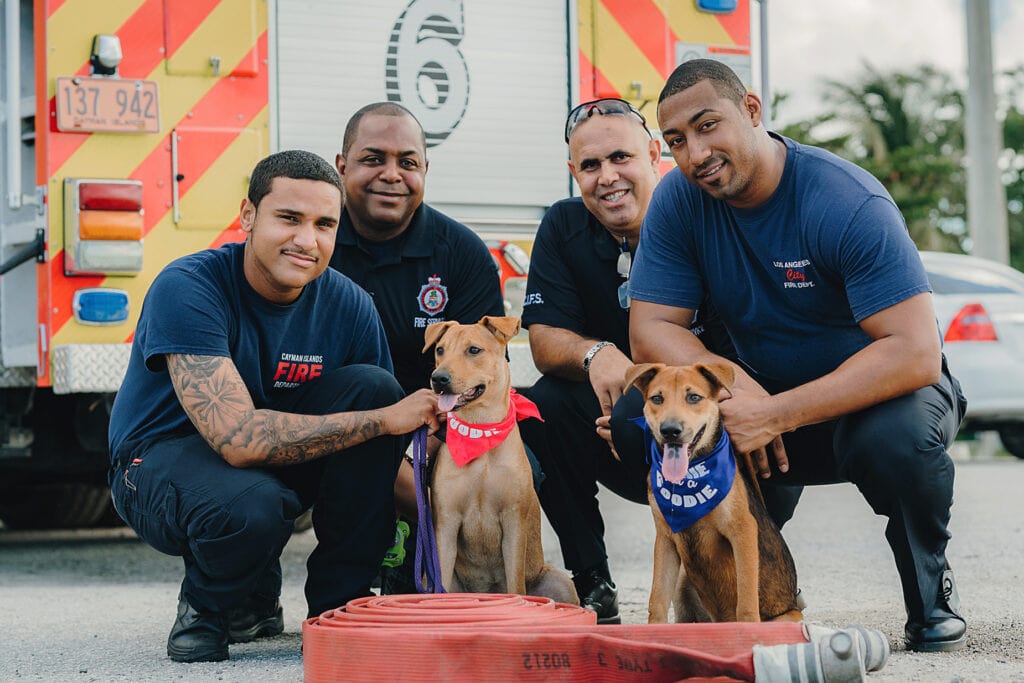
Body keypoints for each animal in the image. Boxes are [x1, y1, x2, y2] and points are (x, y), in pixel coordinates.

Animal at [415, 315, 577, 602]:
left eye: (473, 350)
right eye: (440, 350)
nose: (438, 378)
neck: (481, 431)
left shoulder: (513, 522)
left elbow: (515, 584)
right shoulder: (446, 524)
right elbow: (440, 577)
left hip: (560, 582)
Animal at [618, 362, 802, 626]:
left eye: (694, 397)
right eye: (657, 398)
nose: (670, 430)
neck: (689, 479)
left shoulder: (743, 529)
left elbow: (746, 597)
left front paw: (748, 627)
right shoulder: (665, 538)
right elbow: (657, 598)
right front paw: (654, 629)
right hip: (683, 581)